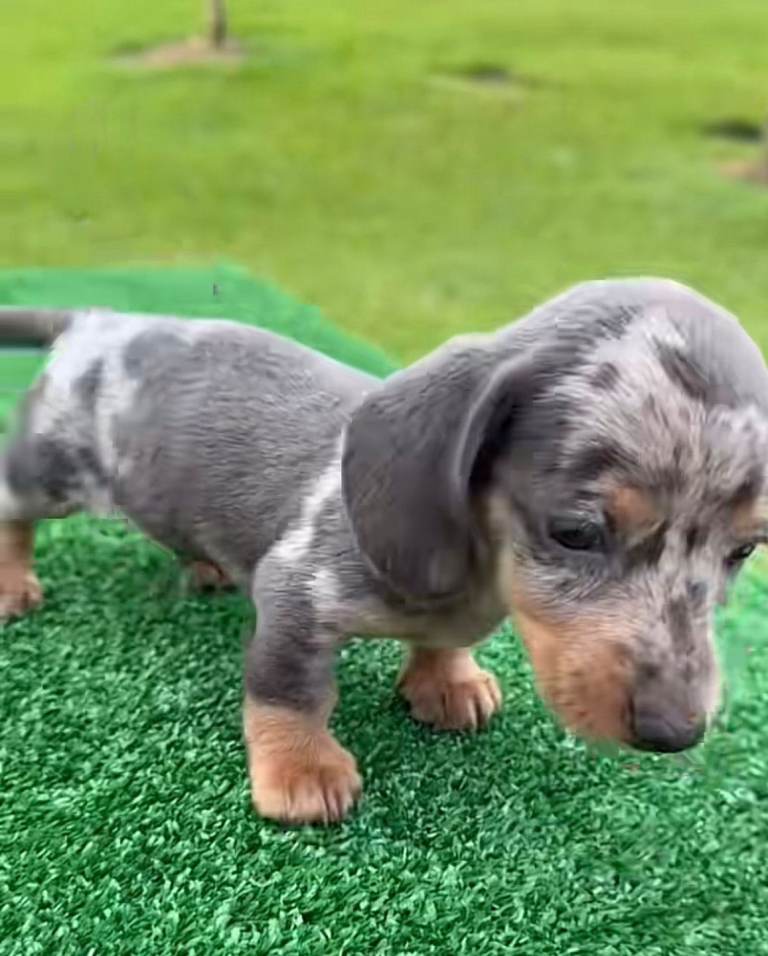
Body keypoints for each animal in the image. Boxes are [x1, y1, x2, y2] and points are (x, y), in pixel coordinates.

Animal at [1, 278, 767, 824]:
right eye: (575, 532)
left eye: (744, 550)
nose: (676, 732)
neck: (478, 573)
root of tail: (100, 321)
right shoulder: (296, 593)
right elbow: (293, 692)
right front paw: (301, 770)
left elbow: (444, 645)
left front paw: (448, 681)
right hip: (49, 470)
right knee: (14, 512)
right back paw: (11, 584)